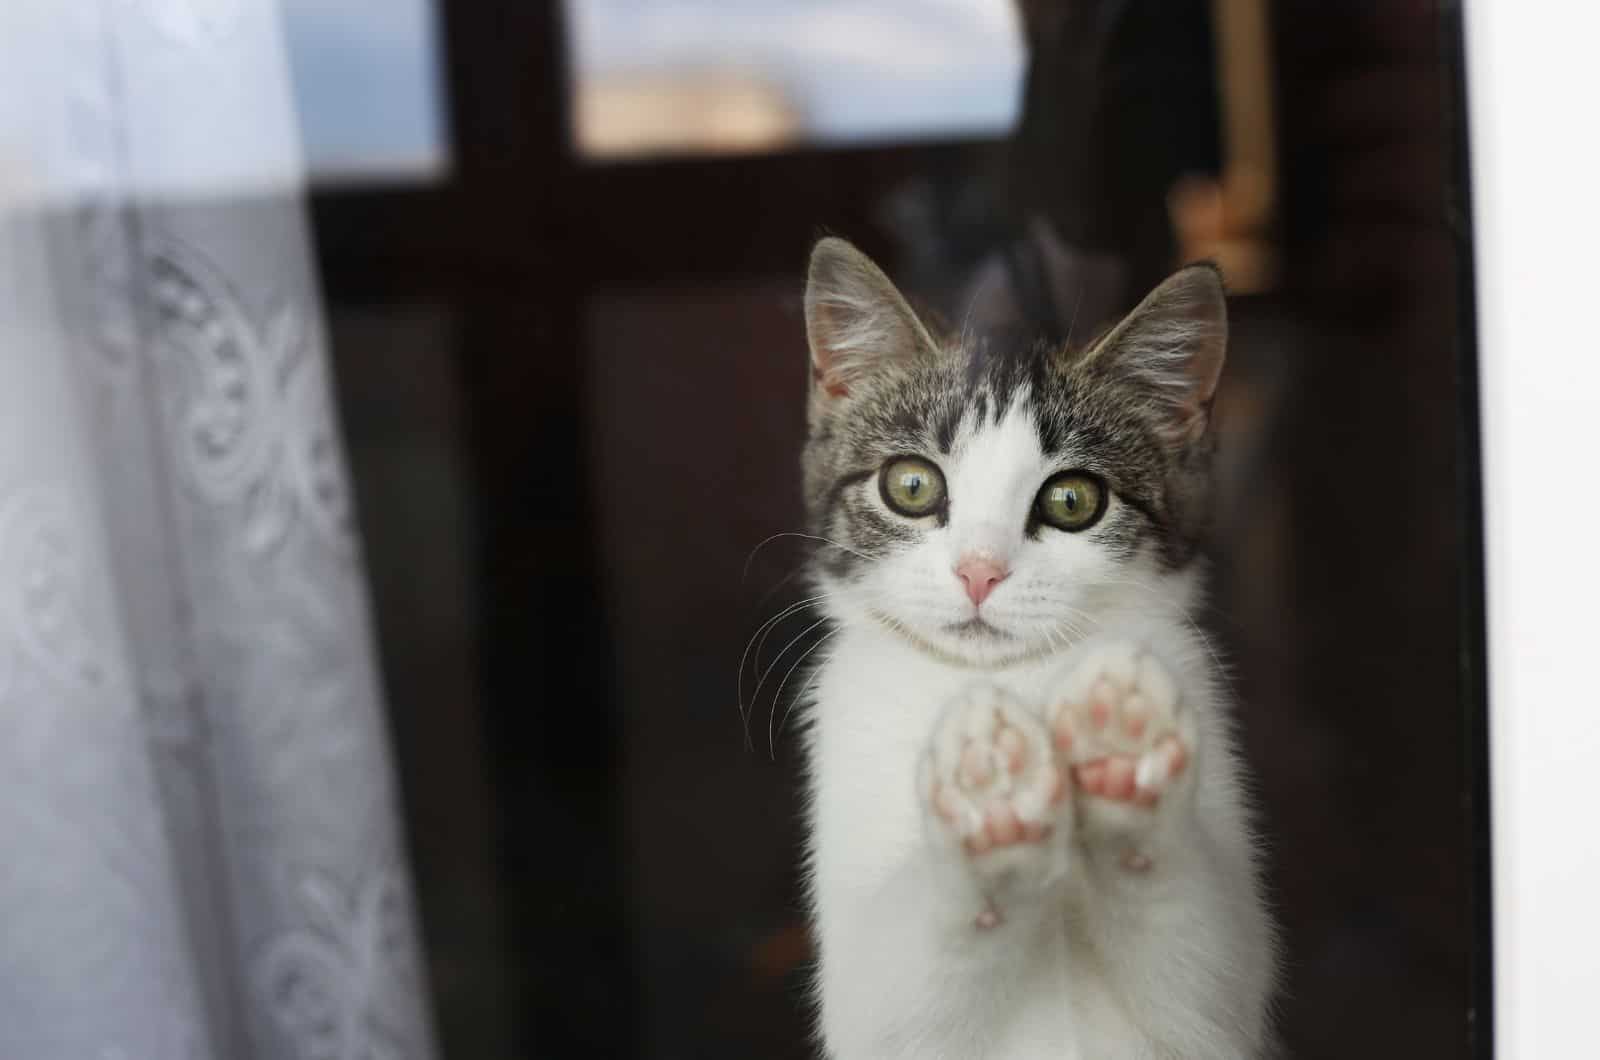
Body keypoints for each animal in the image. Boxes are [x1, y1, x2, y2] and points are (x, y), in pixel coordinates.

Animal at [796, 236, 1273, 1056]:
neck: (1016, 678)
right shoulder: (861, 1004)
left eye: (1073, 500)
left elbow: (1205, 972)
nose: (979, 571)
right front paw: (990, 791)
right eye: (911, 486)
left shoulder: (1218, 1016)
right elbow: (898, 989)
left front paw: (1124, 753)